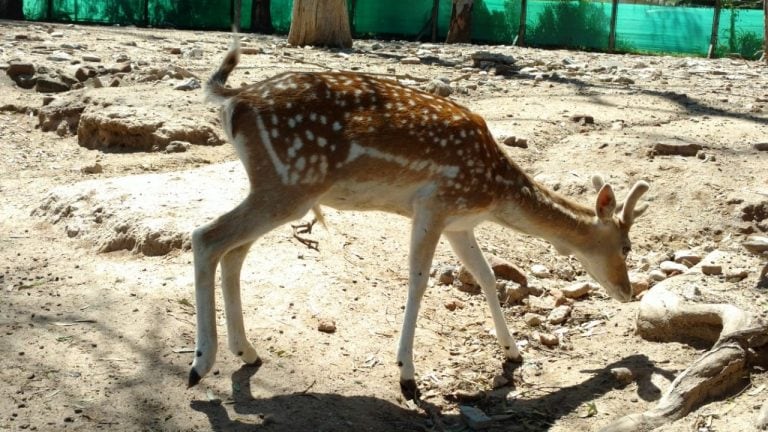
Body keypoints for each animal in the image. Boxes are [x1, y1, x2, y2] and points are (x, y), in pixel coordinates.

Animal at [186, 38, 648, 404]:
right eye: (626, 246)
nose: (628, 292)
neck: (494, 190)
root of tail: (234, 100)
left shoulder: (461, 223)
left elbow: (486, 276)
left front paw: (513, 352)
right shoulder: (436, 204)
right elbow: (419, 279)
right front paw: (408, 378)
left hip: (277, 189)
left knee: (234, 252)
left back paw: (247, 351)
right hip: (290, 185)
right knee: (206, 236)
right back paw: (200, 364)